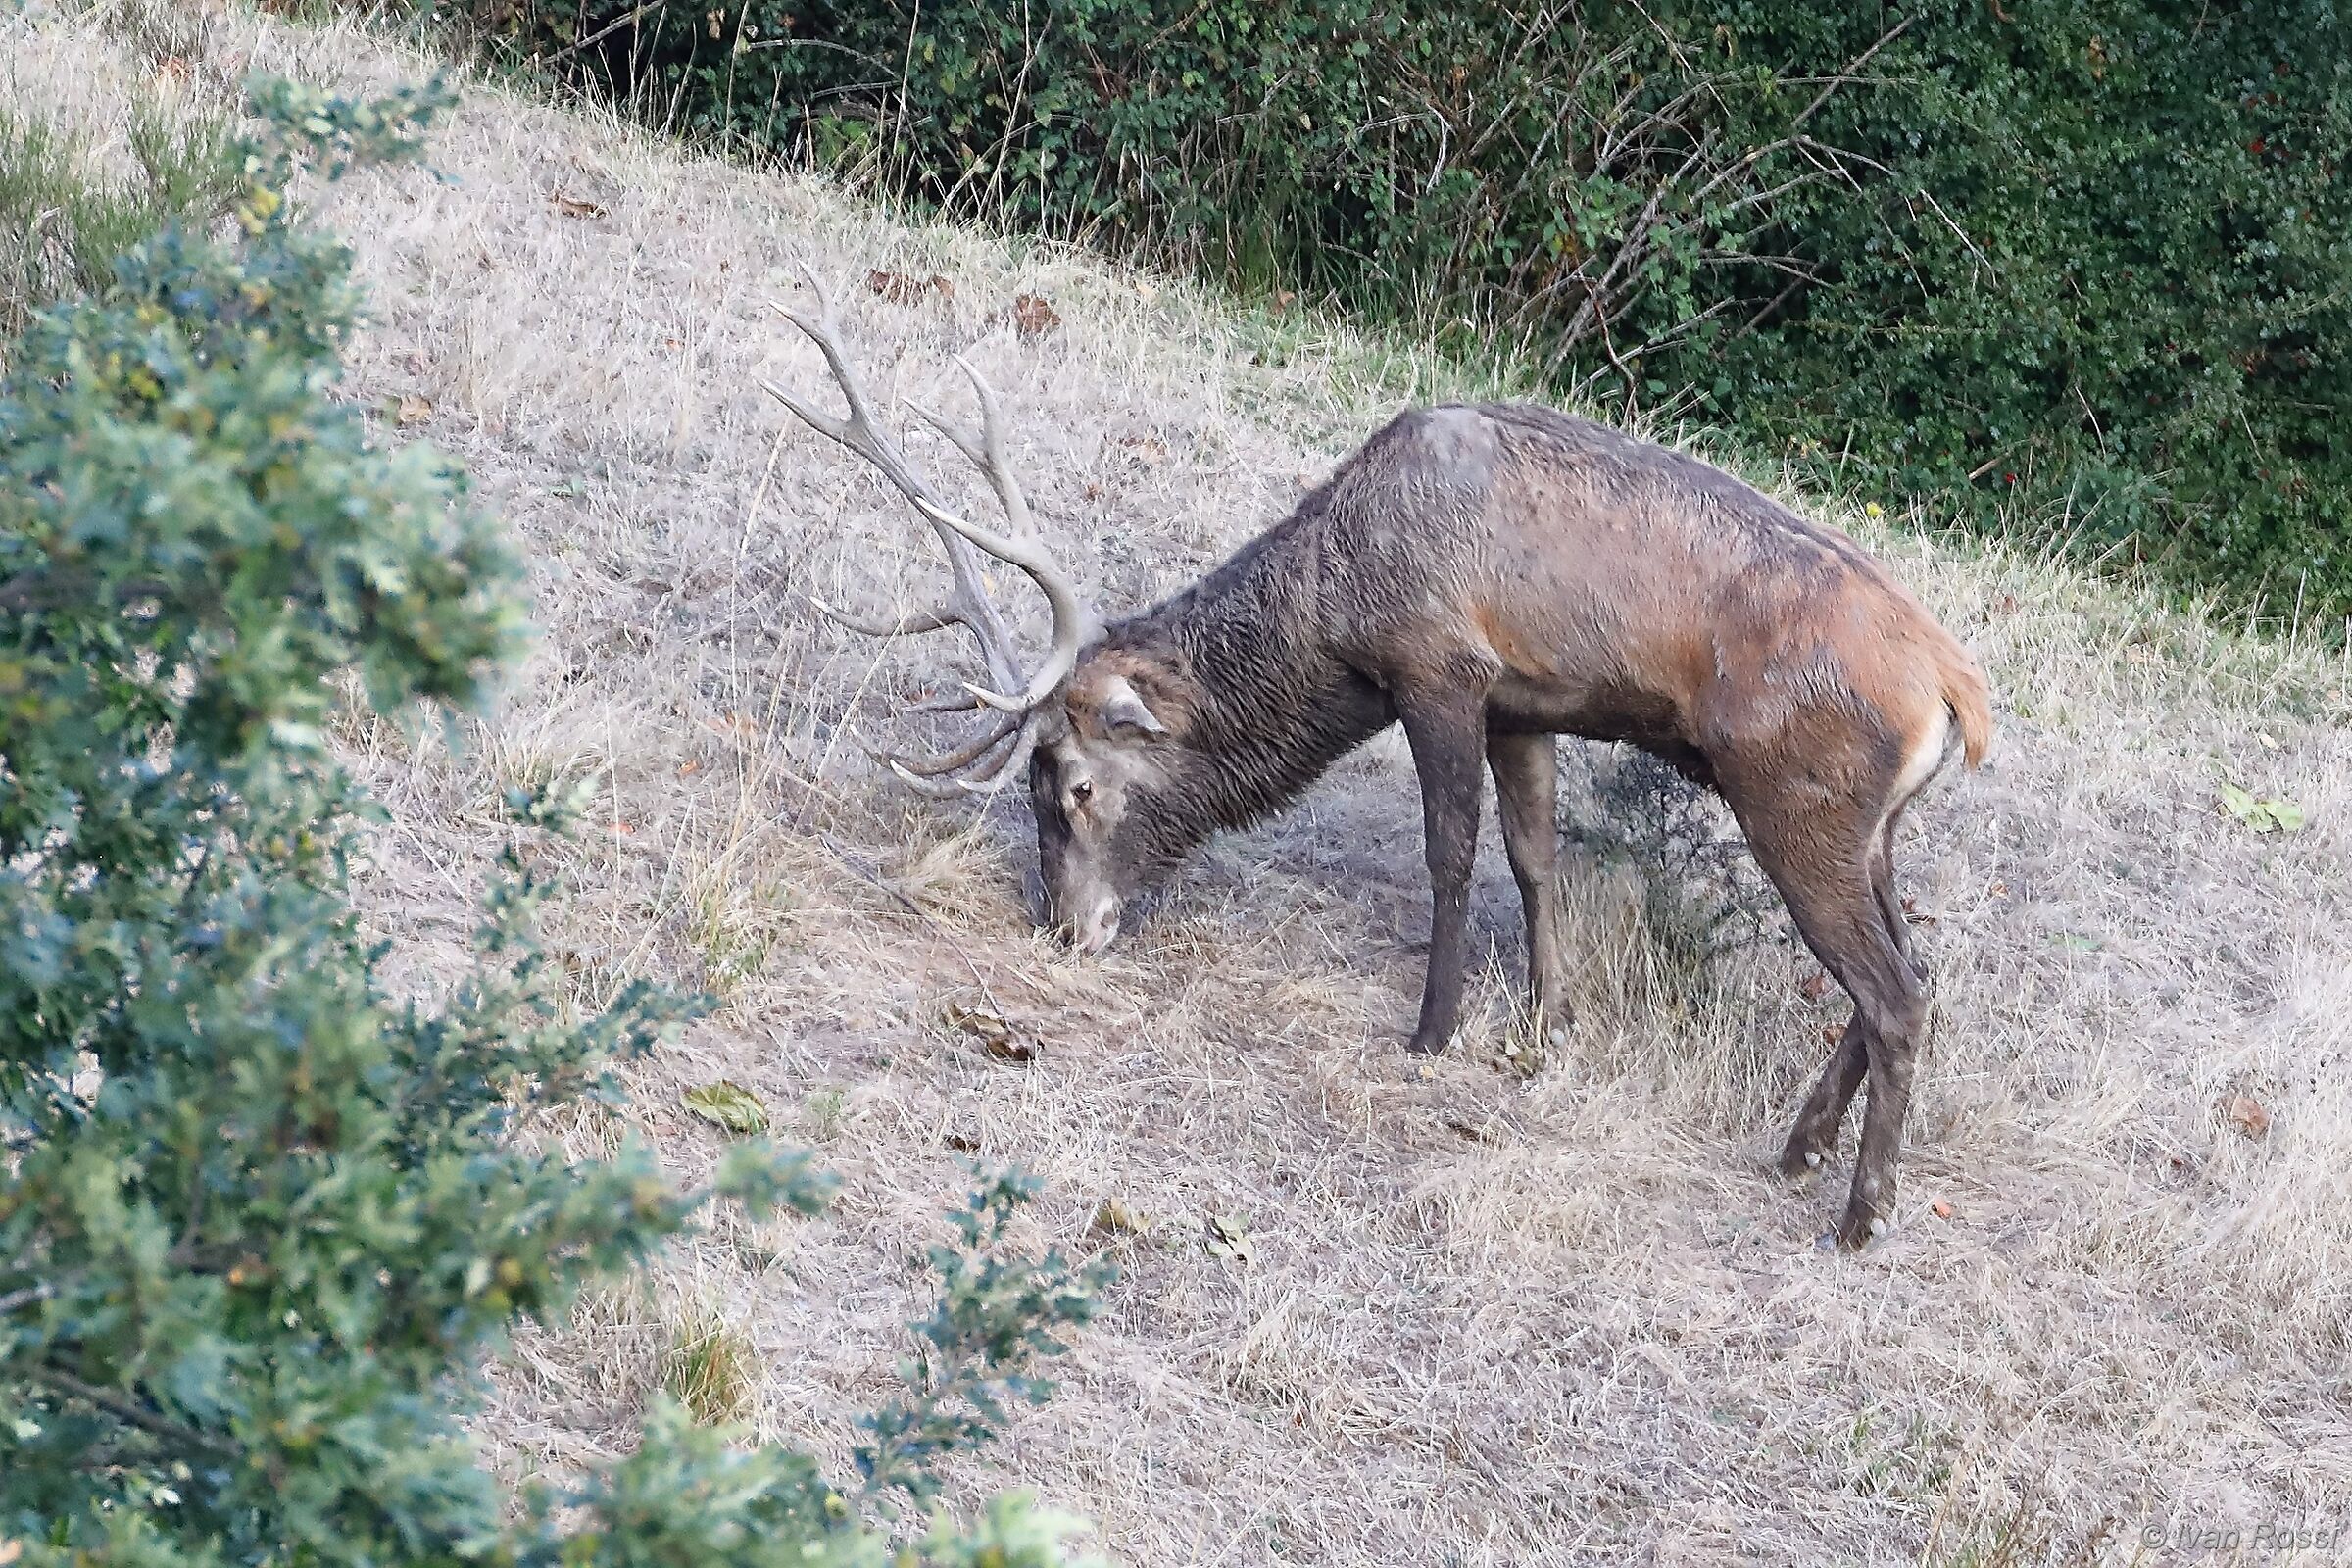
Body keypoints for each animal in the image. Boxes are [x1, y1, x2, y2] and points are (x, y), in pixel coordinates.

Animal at [763, 277, 1992, 1250]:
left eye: (1074, 782)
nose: (1068, 927)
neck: (1339, 609)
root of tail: (1954, 692)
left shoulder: (1438, 666)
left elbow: (1452, 851)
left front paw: (1433, 1030)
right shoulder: (1523, 702)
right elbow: (1535, 858)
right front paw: (1547, 1024)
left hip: (1798, 799)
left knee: (1893, 993)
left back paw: (1859, 1214)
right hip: (1869, 827)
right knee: (1907, 970)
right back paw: (1798, 1150)